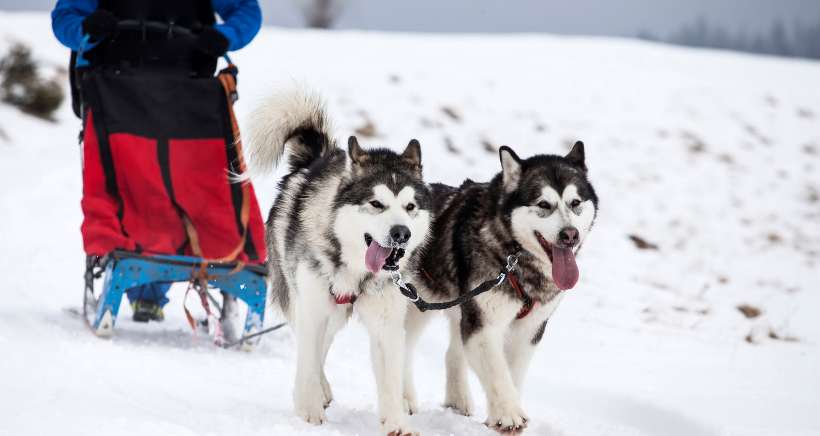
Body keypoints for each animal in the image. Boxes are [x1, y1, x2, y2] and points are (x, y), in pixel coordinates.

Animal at [247, 89, 432, 436]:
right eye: (377, 204)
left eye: (410, 206)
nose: (401, 233)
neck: (356, 270)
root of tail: (314, 159)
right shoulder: (312, 307)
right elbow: (307, 359)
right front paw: (308, 410)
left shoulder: (387, 321)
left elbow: (390, 377)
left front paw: (396, 422)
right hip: (310, 301)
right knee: (310, 350)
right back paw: (317, 392)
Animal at [402, 142, 596, 432]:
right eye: (543, 204)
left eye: (575, 203)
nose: (570, 235)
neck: (515, 258)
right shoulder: (484, 325)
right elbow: (497, 372)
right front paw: (508, 414)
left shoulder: (529, 329)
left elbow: (511, 372)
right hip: (416, 307)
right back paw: (404, 399)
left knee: (453, 353)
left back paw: (458, 400)